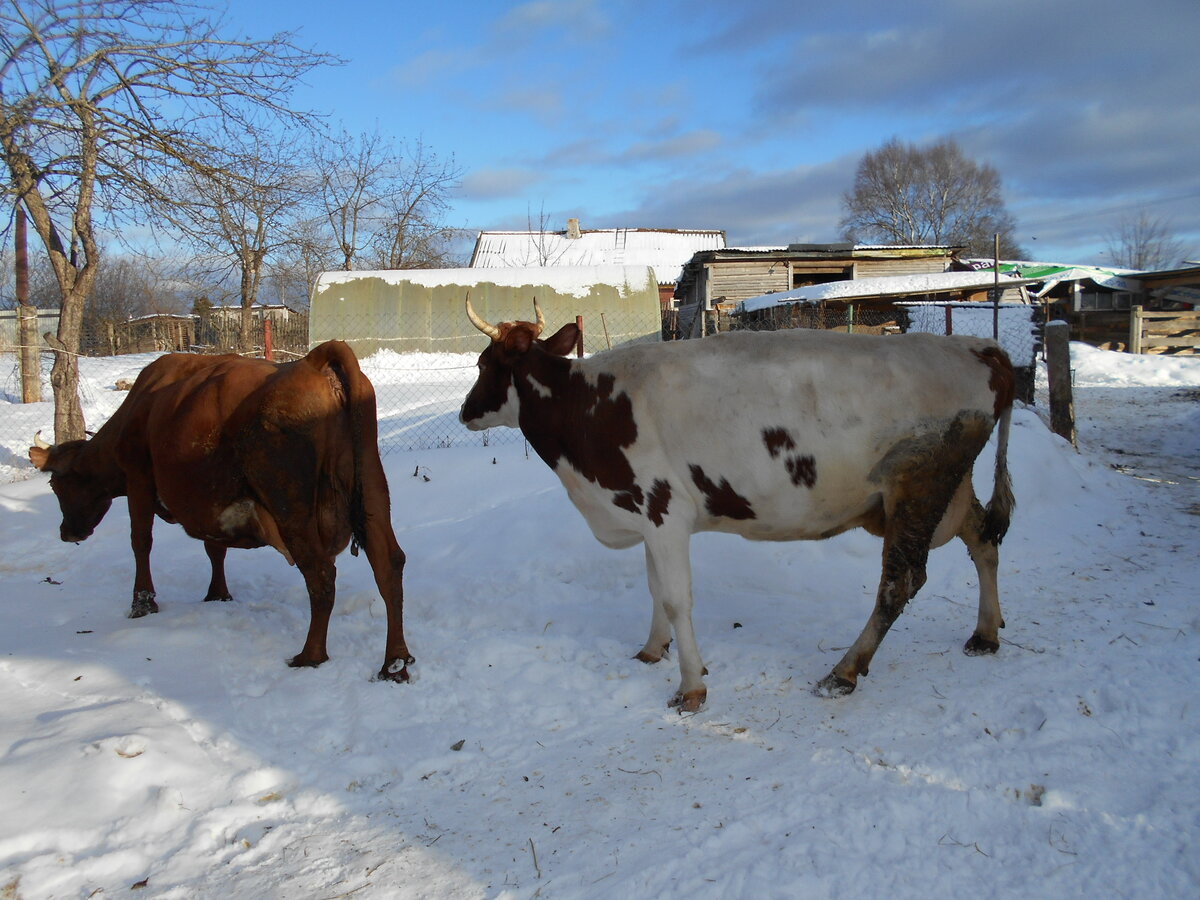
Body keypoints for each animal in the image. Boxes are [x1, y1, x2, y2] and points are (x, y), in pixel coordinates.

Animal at [29, 340, 412, 681]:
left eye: (55, 485)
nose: (67, 533)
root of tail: (313, 361)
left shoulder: (138, 477)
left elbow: (141, 541)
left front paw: (142, 604)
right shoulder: (208, 501)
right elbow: (214, 547)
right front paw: (217, 595)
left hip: (291, 503)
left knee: (320, 575)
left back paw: (310, 656)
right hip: (372, 491)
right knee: (388, 565)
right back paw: (395, 663)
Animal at [458, 303, 1012, 710]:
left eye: (484, 365)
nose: (465, 412)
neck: (586, 409)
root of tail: (980, 349)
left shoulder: (661, 510)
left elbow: (676, 598)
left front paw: (691, 686)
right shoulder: (646, 518)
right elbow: (655, 590)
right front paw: (652, 650)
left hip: (918, 487)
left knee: (900, 583)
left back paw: (843, 672)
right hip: (947, 491)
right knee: (983, 536)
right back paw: (985, 633)